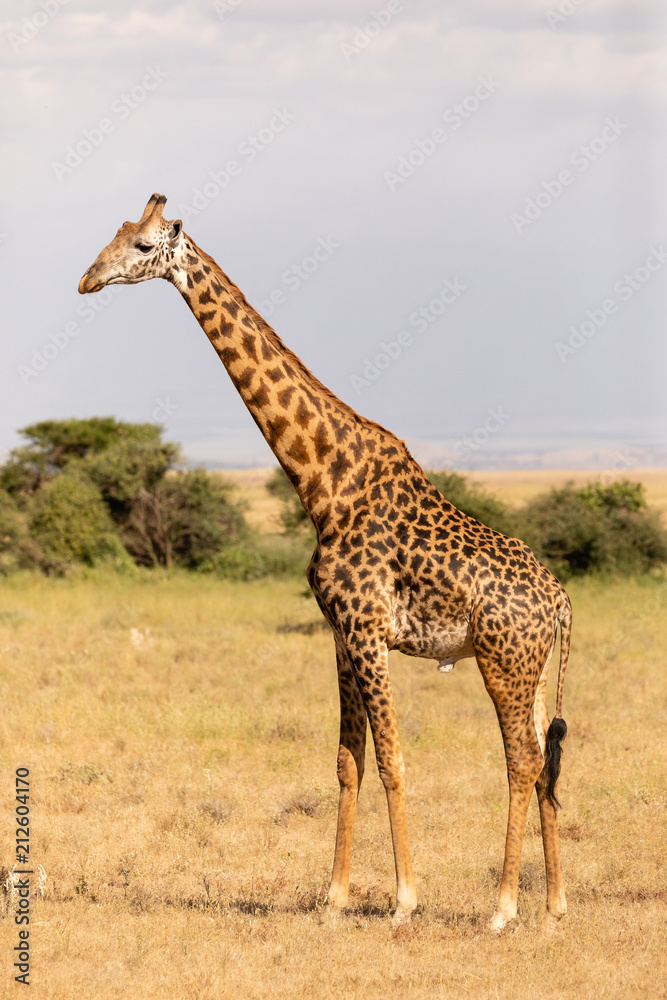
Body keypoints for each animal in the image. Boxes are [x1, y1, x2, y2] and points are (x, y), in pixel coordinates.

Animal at [79, 193, 571, 931]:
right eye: (115, 232)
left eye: (142, 246)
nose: (87, 280)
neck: (322, 483)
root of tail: (561, 598)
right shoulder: (340, 633)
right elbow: (348, 761)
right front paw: (333, 898)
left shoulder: (368, 630)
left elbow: (393, 758)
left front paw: (403, 900)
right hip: (532, 668)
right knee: (544, 760)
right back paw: (555, 903)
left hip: (502, 662)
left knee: (520, 760)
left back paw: (502, 907)